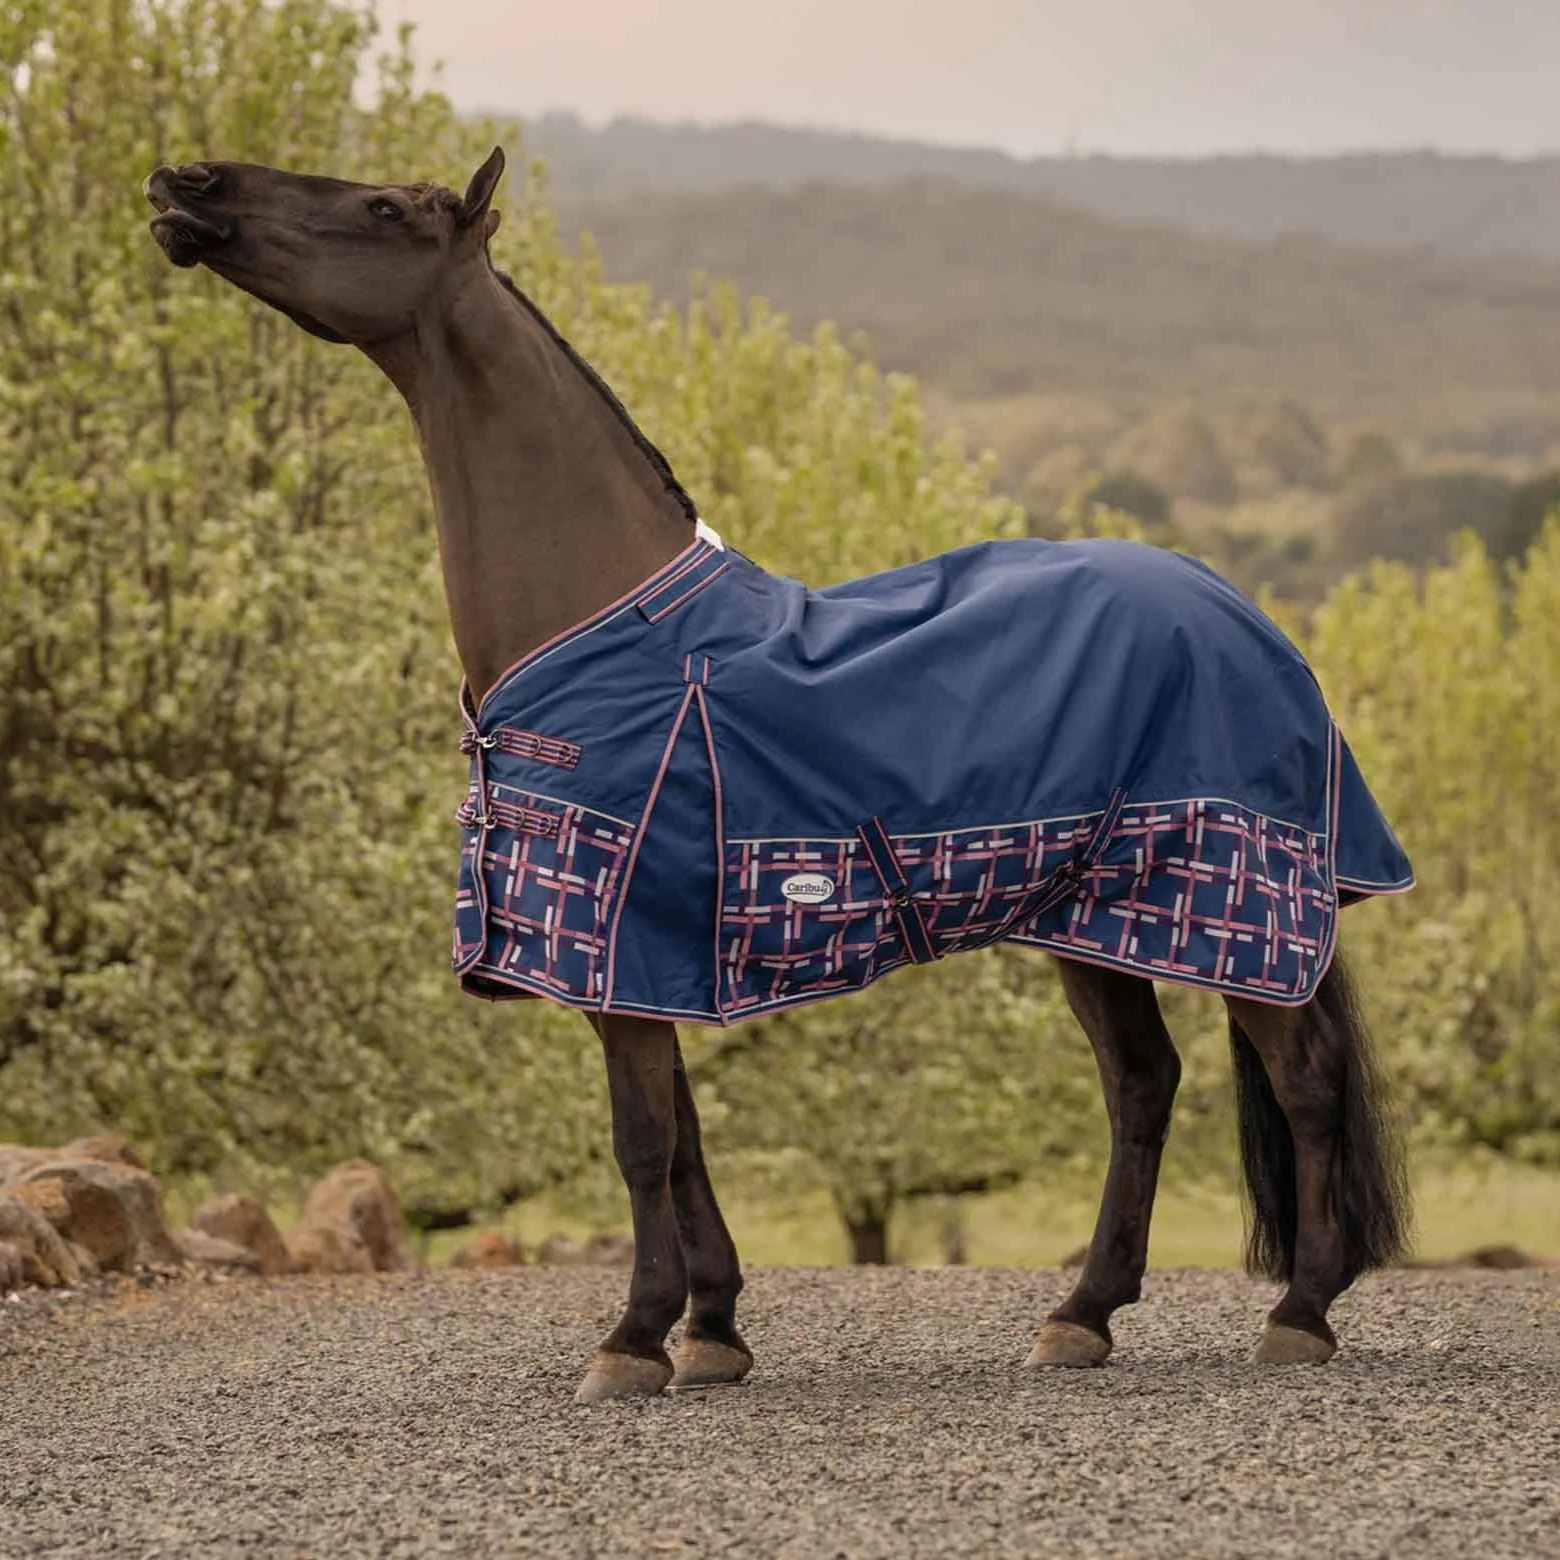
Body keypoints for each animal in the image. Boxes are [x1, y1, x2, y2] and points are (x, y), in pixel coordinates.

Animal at [144, 147, 1412, 1403]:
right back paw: (1081, 1315)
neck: (609, 628)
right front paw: (711, 1331)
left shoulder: (618, 939)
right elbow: (687, 1140)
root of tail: (1251, 620)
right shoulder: (652, 954)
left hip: (1236, 912)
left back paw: (1300, 1310)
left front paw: (632, 1339)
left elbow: (642, 1140)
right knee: (1142, 1086)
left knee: (1303, 1077)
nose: (186, 185)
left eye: (382, 207)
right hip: (1091, 920)